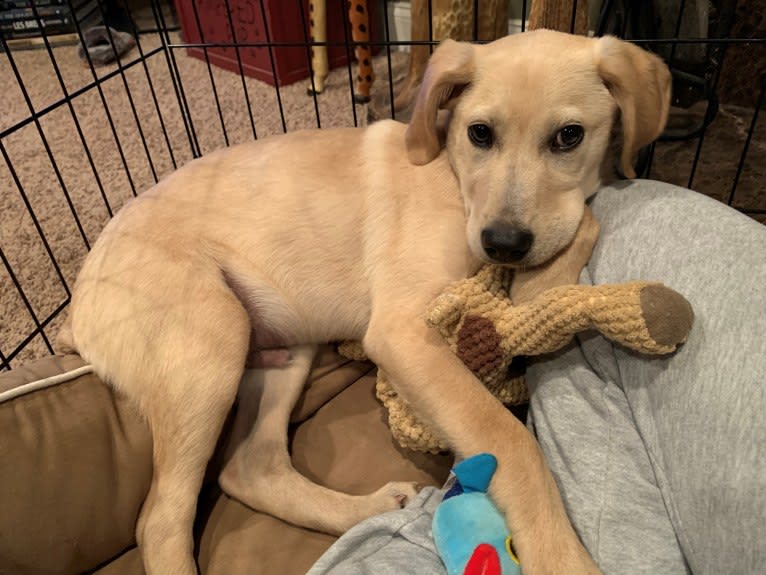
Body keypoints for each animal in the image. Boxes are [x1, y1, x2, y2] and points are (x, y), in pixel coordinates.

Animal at [61, 30, 672, 575]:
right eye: (480, 133)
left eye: (569, 137)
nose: (503, 244)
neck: (454, 178)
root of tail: (80, 295)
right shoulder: (401, 332)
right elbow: (508, 437)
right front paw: (560, 556)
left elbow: (581, 225)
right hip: (210, 344)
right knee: (160, 521)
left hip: (285, 347)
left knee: (251, 469)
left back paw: (372, 508)